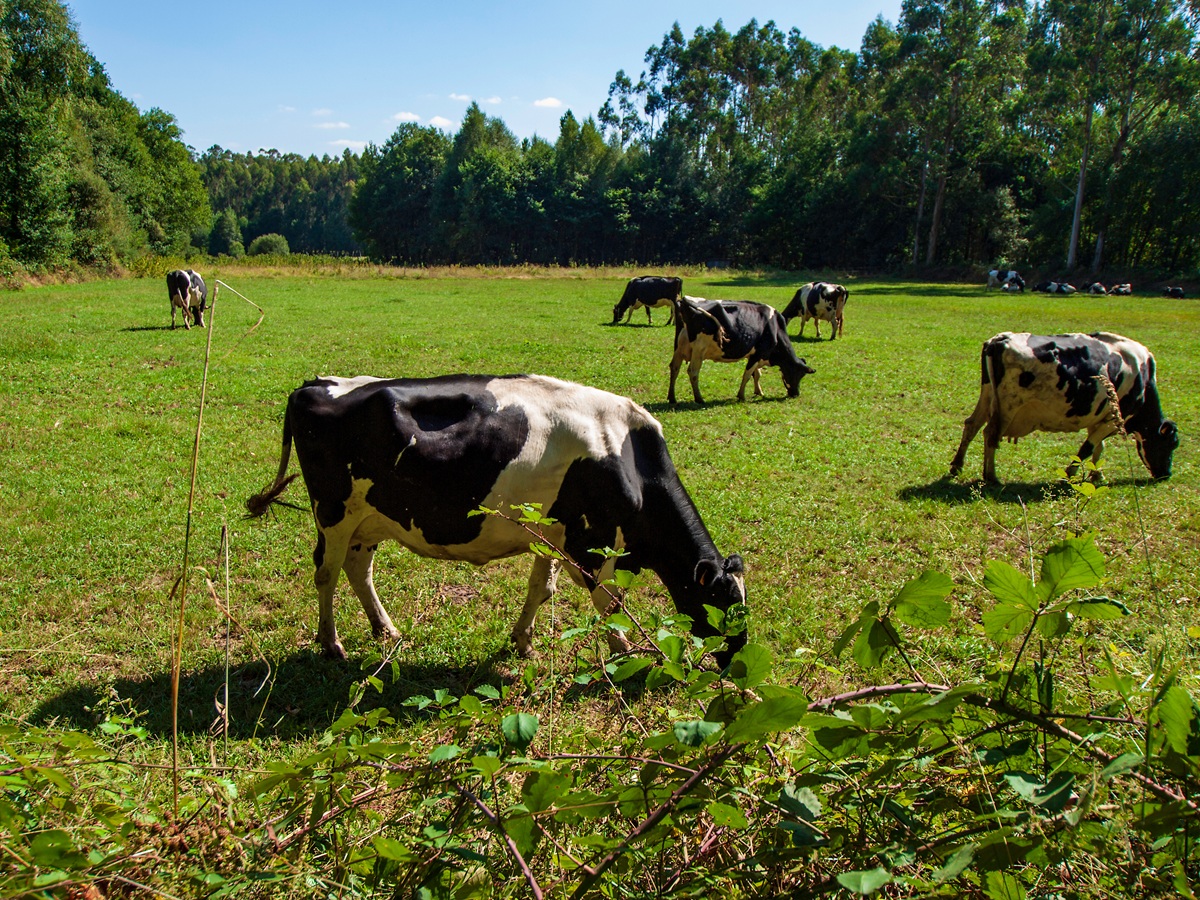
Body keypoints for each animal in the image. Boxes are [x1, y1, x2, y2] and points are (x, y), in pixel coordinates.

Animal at [246, 373, 748, 665]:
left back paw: (384, 629)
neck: (628, 455)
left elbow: (540, 589)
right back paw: (331, 643)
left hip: (370, 519)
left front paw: (523, 642)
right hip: (333, 513)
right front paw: (625, 650)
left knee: (357, 569)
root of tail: (311, 385)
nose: (738, 658)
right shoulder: (592, 542)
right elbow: (609, 604)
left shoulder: (554, 535)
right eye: (723, 605)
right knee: (326, 573)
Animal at [668, 296, 815, 404]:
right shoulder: (758, 354)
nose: (795, 394)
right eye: (798, 374)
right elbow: (748, 375)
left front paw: (758, 391)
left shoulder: (755, 355)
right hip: (699, 349)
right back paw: (699, 398)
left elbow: (757, 374)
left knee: (674, 368)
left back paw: (672, 397)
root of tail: (685, 299)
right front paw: (741, 395)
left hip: (678, 348)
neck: (775, 328)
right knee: (693, 372)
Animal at [949, 331, 1179, 484]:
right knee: (991, 434)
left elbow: (1099, 447)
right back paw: (991, 476)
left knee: (972, 425)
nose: (1166, 474)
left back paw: (957, 466)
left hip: (988, 395)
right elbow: (1088, 447)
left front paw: (1097, 473)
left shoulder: (1099, 417)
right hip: (1008, 406)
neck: (1143, 379)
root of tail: (999, 340)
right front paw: (1070, 473)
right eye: (1171, 444)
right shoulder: (1114, 420)